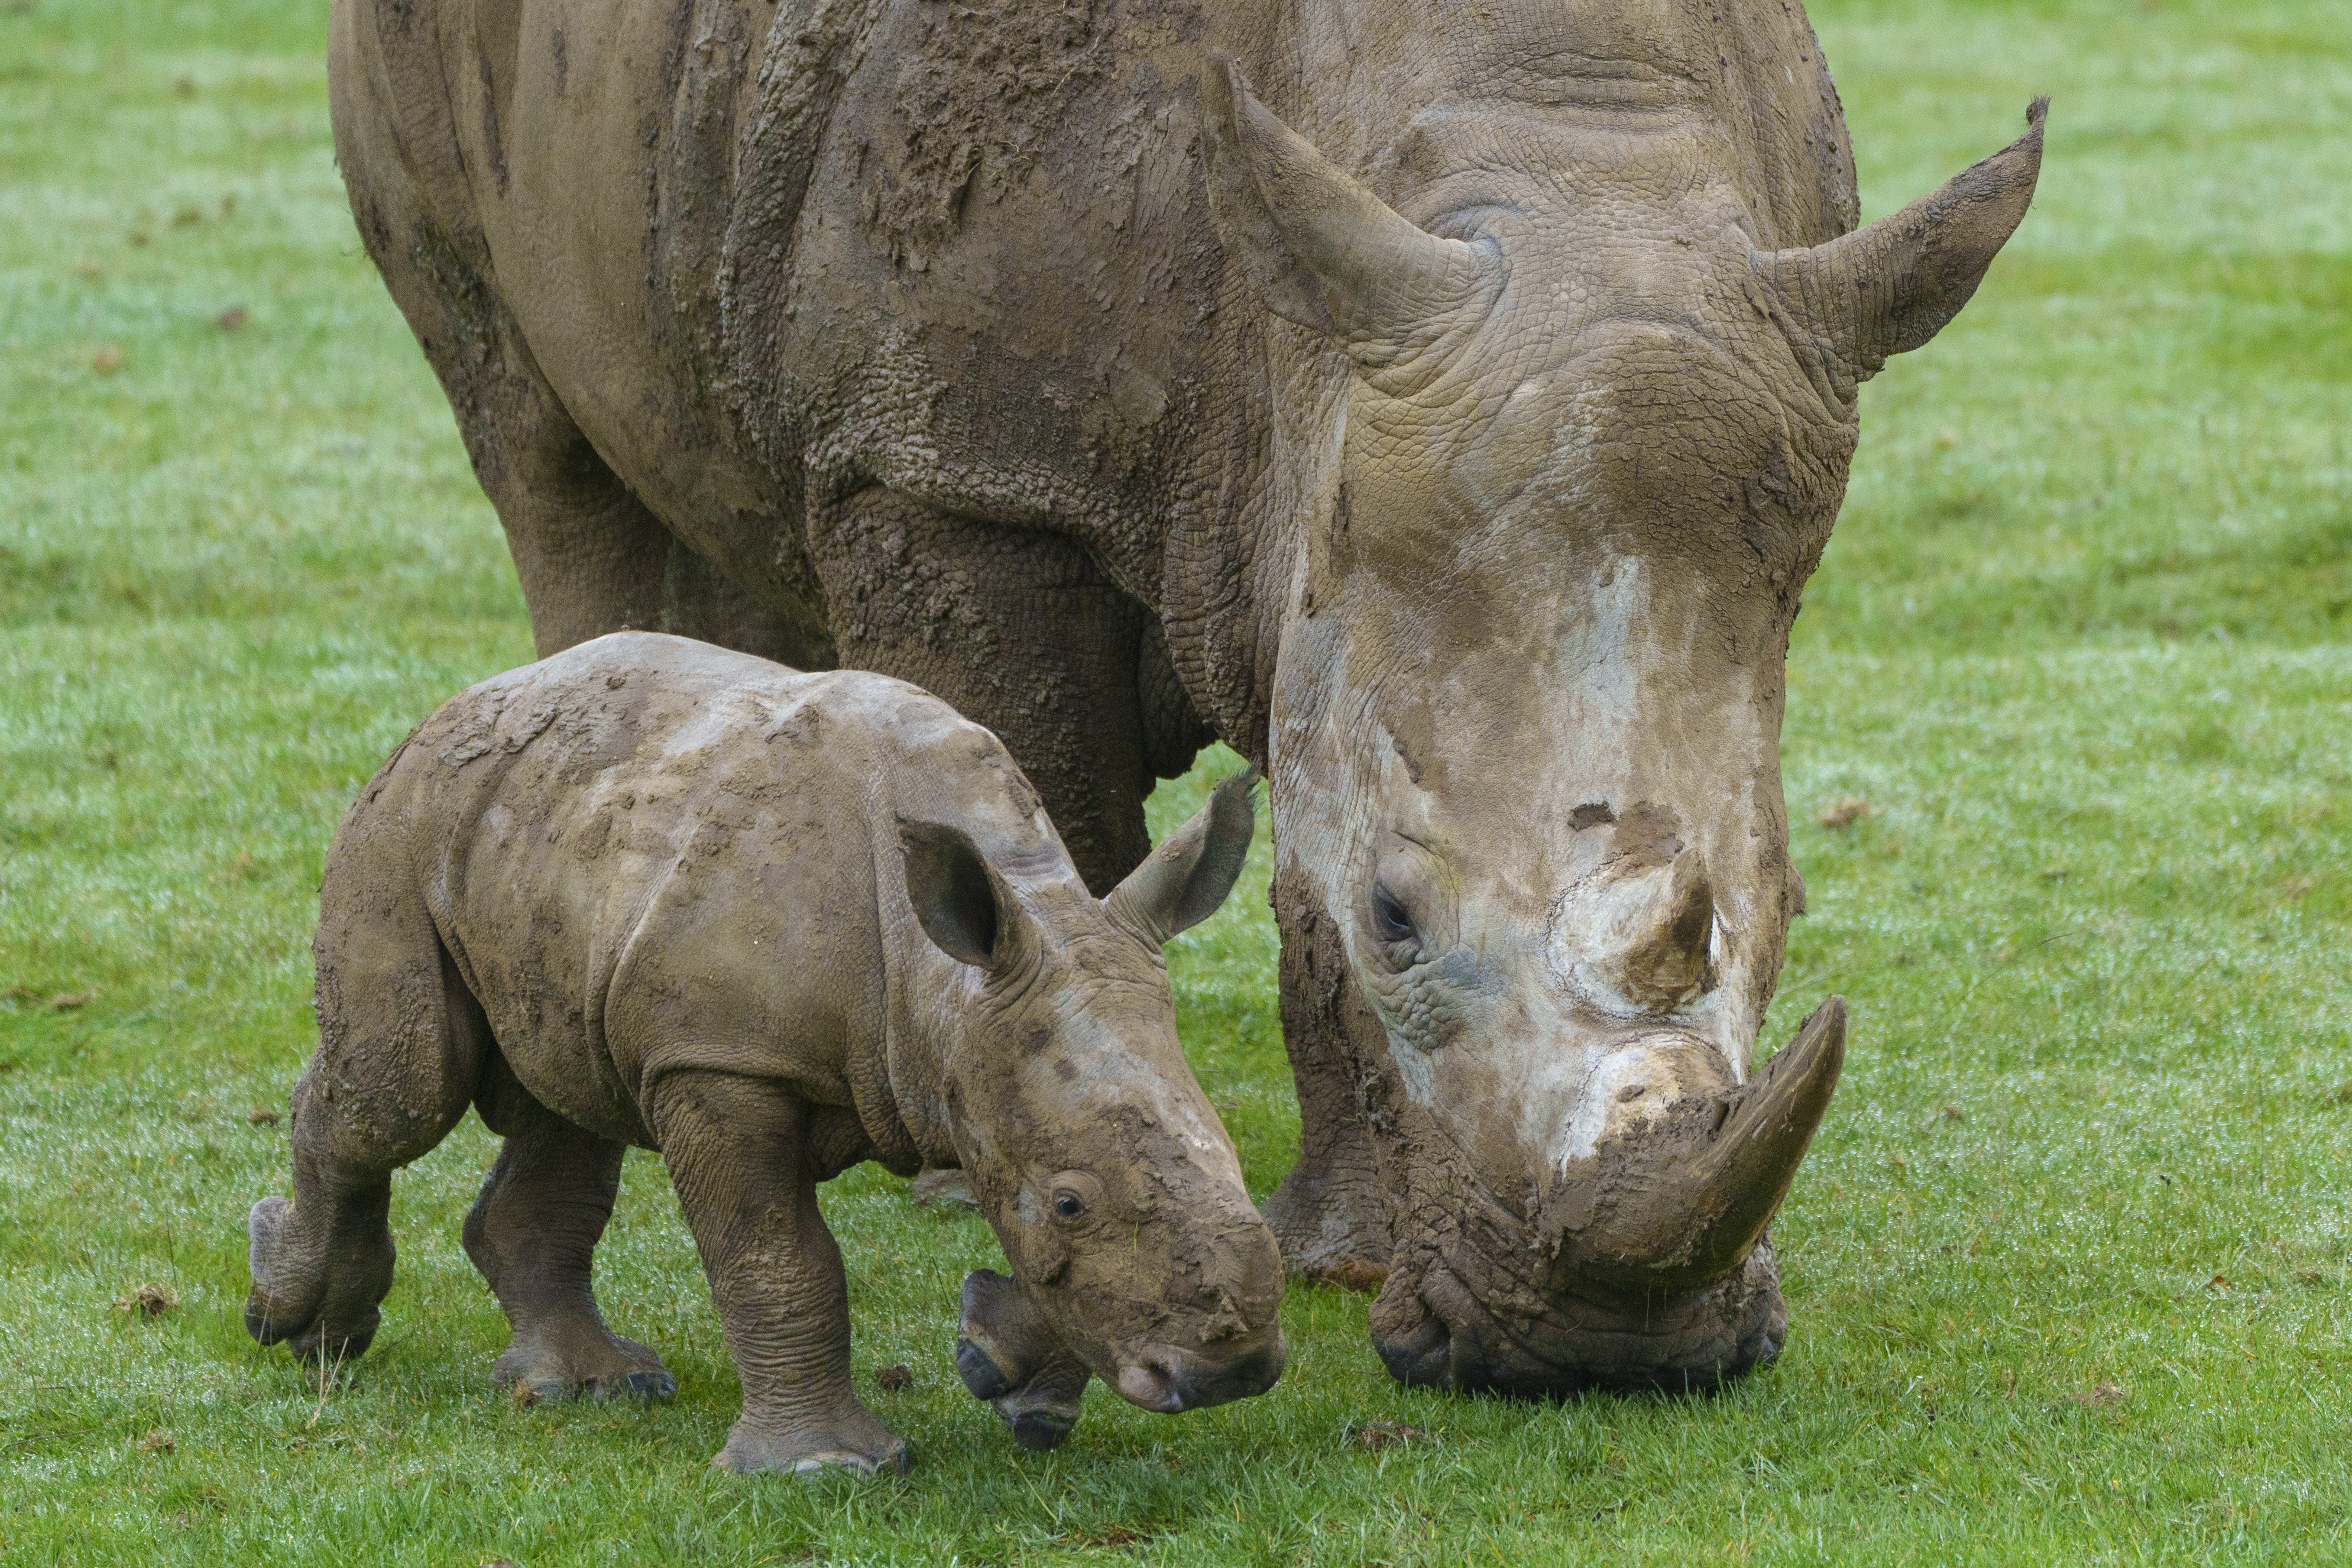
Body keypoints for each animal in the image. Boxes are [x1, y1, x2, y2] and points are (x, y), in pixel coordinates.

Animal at [243, 633, 1283, 1474]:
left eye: (1236, 1158)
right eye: (1072, 1201)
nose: (1232, 1371)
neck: (947, 987)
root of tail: (457, 705)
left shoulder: (994, 1048)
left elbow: (1029, 1236)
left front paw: (1008, 1381)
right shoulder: (721, 1059)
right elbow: (778, 1256)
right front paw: (825, 1470)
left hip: (550, 838)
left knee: (568, 1099)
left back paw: (594, 1387)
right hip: (404, 822)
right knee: (406, 1092)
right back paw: (304, 1330)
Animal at [330, 0, 2043, 1392]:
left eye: (1787, 899)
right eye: (1399, 917)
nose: (1603, 1350)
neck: (1570, 169)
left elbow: (1291, 871)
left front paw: (1339, 1253)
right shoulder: (954, 465)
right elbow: (1044, 802)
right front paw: (997, 1147)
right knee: (535, 440)